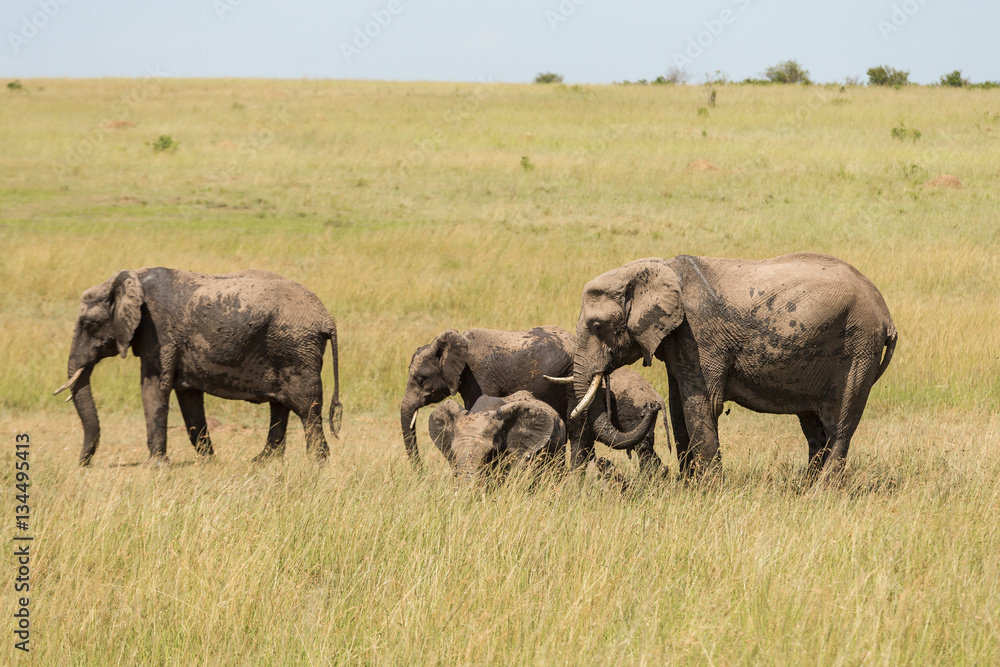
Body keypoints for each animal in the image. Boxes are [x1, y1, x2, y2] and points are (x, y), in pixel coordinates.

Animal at [54, 268, 344, 468]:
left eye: (90, 324)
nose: (83, 464)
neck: (130, 279)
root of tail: (327, 318)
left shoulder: (159, 333)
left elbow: (153, 388)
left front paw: (155, 466)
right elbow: (189, 398)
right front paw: (208, 462)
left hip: (295, 347)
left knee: (306, 407)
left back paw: (317, 464)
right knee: (281, 405)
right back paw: (262, 461)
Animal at [572, 253, 900, 478]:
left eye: (597, 325)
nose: (650, 407)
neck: (657, 268)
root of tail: (885, 314)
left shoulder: (698, 335)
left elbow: (702, 404)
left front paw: (708, 491)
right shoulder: (679, 341)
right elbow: (679, 407)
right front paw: (687, 487)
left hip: (857, 349)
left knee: (839, 426)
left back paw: (821, 492)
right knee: (815, 428)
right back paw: (806, 487)